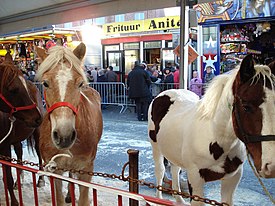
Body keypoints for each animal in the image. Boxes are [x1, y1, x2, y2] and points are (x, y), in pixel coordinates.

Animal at [0, 54, 42, 205]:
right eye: (13, 89)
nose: (37, 117)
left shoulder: (5, 148)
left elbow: (7, 177)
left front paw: (14, 202)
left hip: (37, 134)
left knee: (39, 154)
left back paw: (40, 180)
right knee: (19, 155)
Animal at [149, 55, 275, 206]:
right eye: (246, 106)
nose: (270, 166)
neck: (215, 137)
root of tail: (165, 93)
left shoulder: (232, 178)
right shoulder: (195, 179)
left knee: (175, 169)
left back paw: (179, 200)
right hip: (156, 147)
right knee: (160, 170)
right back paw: (158, 198)